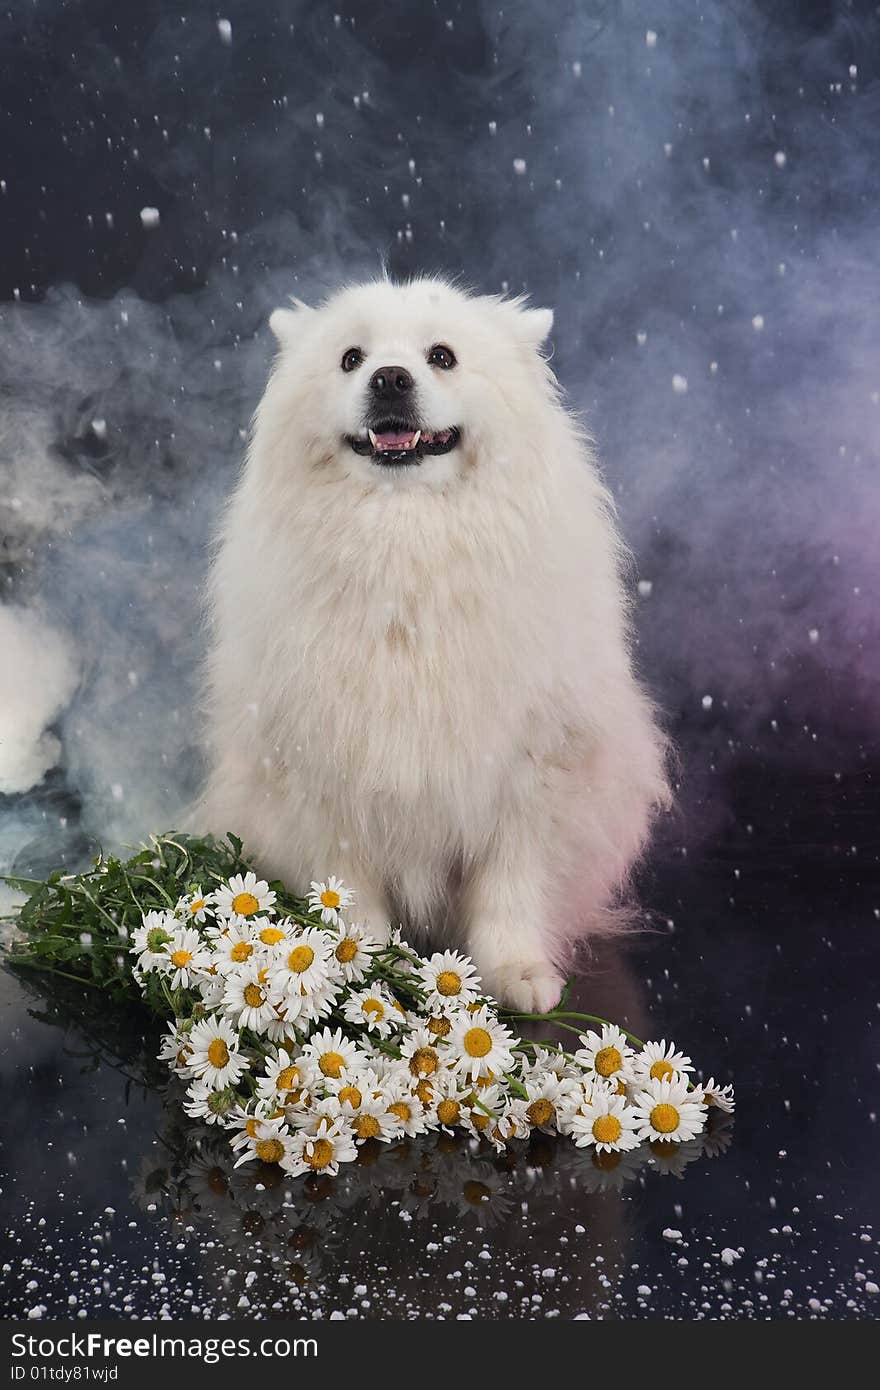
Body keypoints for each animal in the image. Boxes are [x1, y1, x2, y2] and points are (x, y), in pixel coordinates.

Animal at [197, 276, 664, 1011]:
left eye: (441, 356)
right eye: (351, 359)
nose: (390, 378)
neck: (404, 539)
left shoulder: (530, 769)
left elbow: (509, 887)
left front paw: (518, 973)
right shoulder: (327, 767)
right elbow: (348, 890)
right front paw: (359, 966)